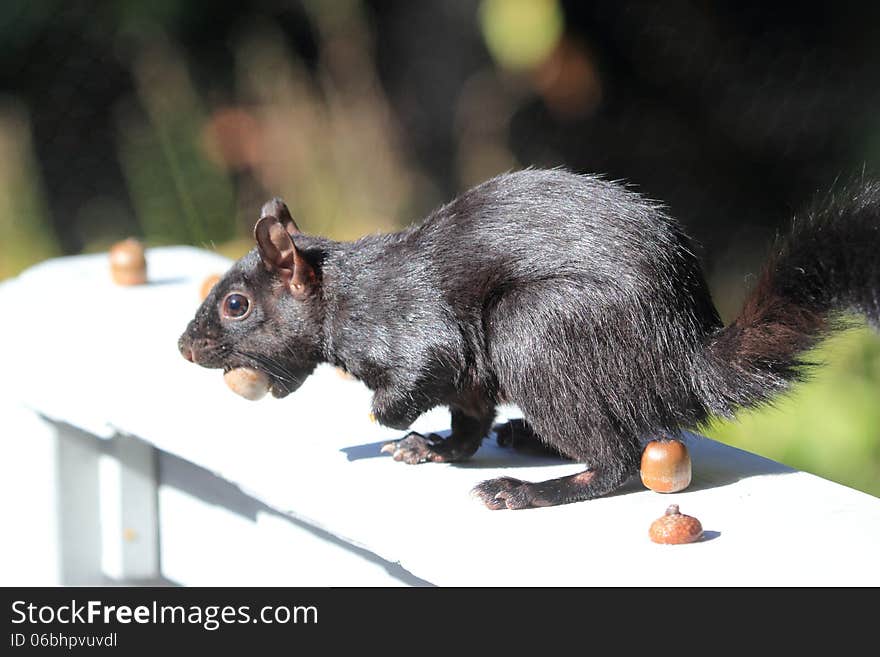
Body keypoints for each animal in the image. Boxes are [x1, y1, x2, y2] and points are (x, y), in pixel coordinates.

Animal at [179, 168, 880, 508]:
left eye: (236, 306)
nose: (186, 348)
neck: (342, 295)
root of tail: (679, 358)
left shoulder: (412, 328)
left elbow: (416, 378)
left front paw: (388, 421)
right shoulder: (466, 376)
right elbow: (467, 421)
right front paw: (432, 448)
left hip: (534, 329)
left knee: (616, 458)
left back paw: (529, 490)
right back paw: (524, 439)